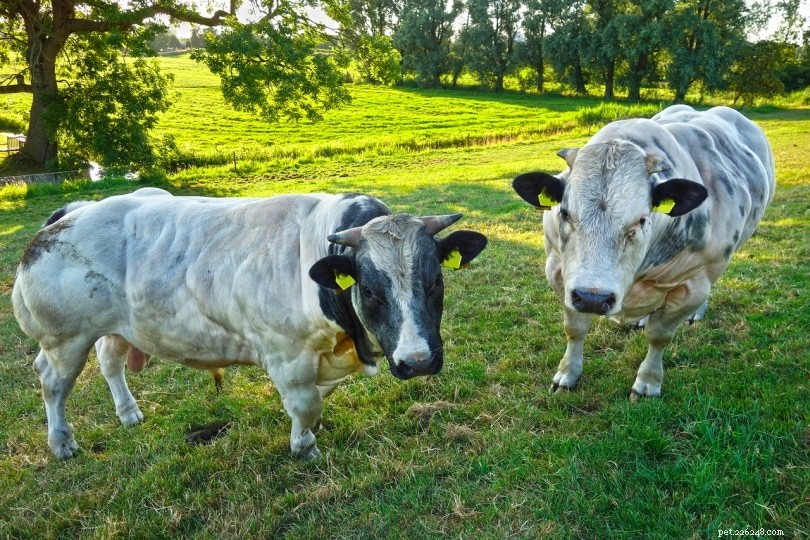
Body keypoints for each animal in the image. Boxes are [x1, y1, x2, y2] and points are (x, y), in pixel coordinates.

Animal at [12, 188, 487, 459]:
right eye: (370, 290)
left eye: (435, 280)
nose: (417, 361)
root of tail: (71, 213)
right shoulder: (287, 356)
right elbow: (305, 404)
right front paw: (304, 447)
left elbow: (315, 402)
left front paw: (308, 433)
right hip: (63, 339)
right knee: (52, 383)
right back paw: (62, 443)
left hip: (116, 327)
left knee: (110, 361)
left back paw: (129, 414)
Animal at [512, 105, 775, 399]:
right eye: (565, 213)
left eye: (640, 220)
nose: (593, 298)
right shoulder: (558, 272)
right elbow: (574, 329)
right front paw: (568, 374)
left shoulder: (694, 283)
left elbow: (659, 336)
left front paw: (648, 382)